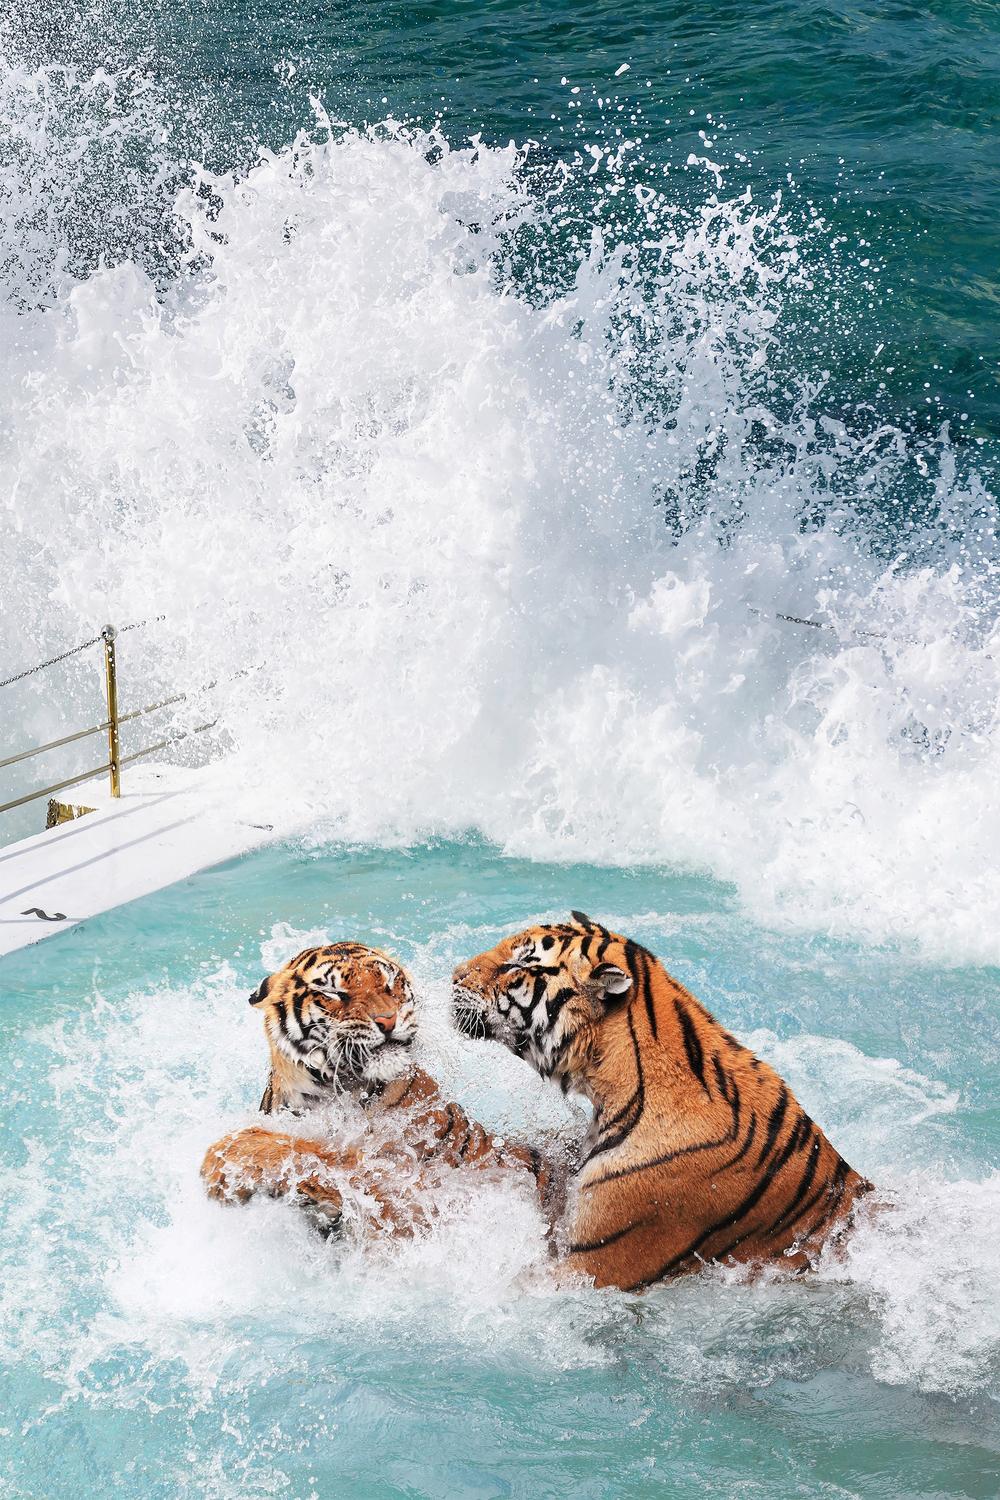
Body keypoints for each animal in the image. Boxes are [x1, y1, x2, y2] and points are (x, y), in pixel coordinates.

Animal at [201, 941, 554, 1235]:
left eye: (389, 982)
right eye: (333, 992)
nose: (388, 1020)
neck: (324, 1095)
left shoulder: (398, 1172)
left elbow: (312, 1150)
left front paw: (219, 1166)